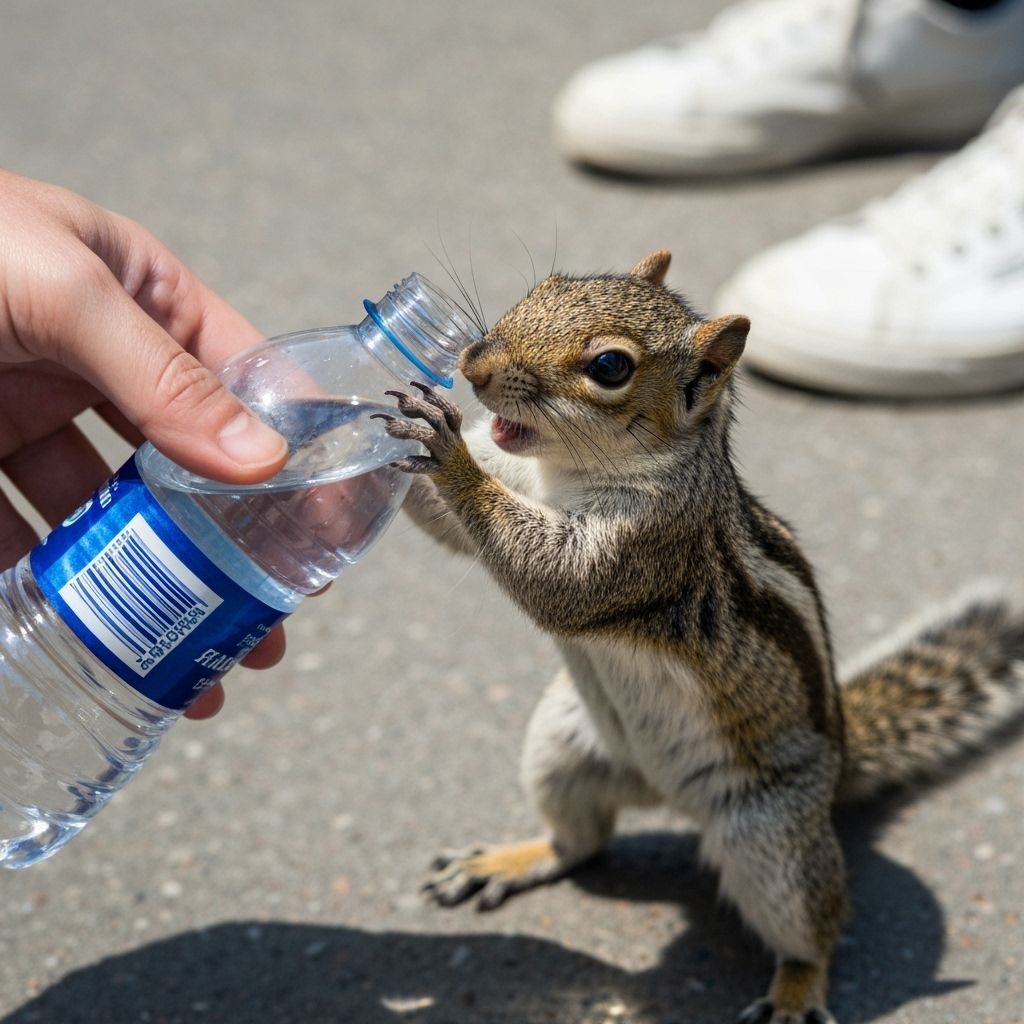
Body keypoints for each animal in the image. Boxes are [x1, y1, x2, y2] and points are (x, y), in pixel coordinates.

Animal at [375, 251, 1024, 1024]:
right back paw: (509, 858)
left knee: (816, 924)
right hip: (561, 746)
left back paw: (794, 992)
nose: (473, 363)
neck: (565, 472)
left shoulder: (645, 548)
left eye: (611, 367)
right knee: (580, 841)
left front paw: (447, 456)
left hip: (769, 835)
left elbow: (554, 579)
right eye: (547, 286)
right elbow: (444, 523)